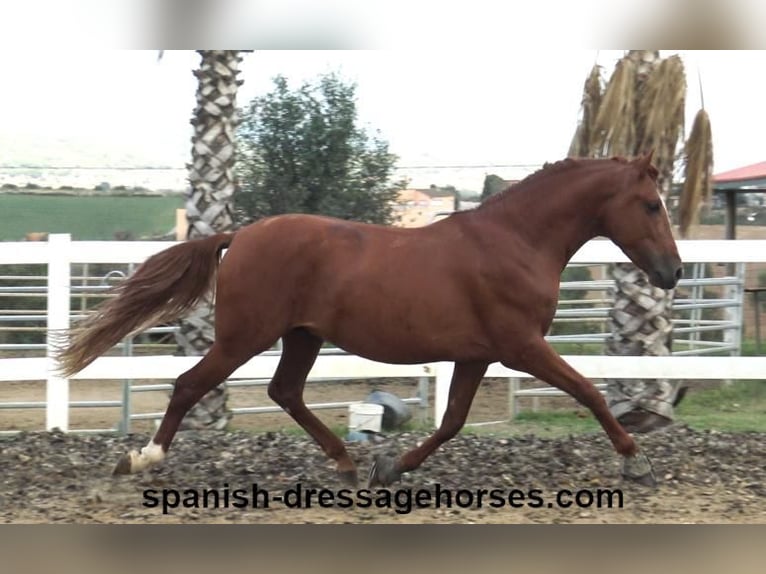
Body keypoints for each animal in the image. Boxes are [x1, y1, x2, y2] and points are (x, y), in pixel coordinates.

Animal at [60, 152, 684, 486]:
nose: (673, 272)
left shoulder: (477, 355)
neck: (516, 242)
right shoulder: (522, 346)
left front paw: (391, 467)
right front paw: (638, 464)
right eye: (652, 205)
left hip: (302, 338)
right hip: (246, 337)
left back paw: (345, 463)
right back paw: (141, 459)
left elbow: (452, 421)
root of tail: (240, 235)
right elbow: (591, 392)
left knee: (285, 392)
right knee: (191, 385)